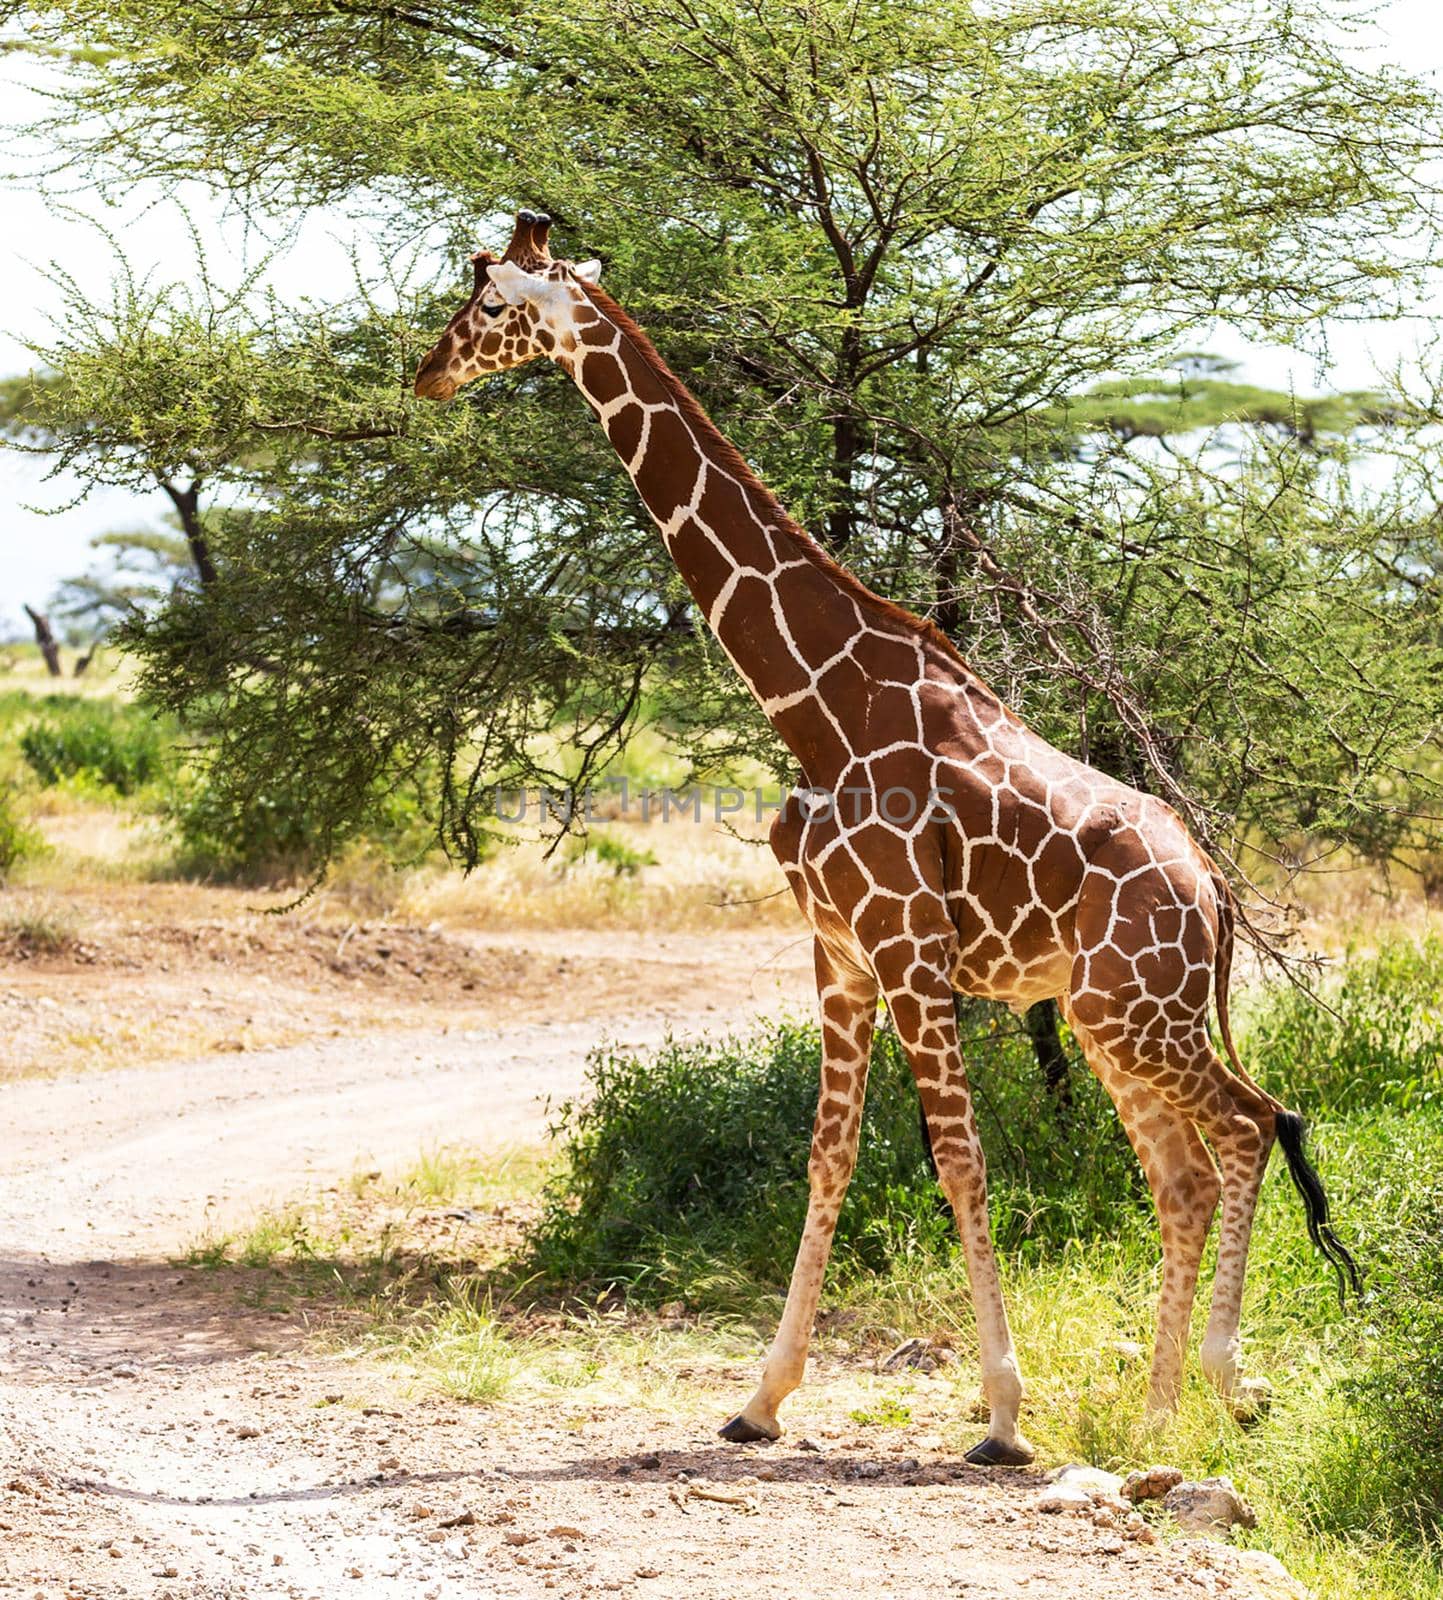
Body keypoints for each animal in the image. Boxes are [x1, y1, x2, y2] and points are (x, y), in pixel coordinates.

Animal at [412, 216, 1363, 1472]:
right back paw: (1161, 1409)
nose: (425, 372)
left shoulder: (912, 953)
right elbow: (829, 1155)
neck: (818, 707)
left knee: (1254, 1127)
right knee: (1187, 1174)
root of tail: (1212, 889)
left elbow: (959, 1160)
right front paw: (760, 1400)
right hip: (1112, 1018)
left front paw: (1003, 1415)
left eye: (484, 302)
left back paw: (1215, 1385)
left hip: (1132, 1010)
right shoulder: (839, 954)